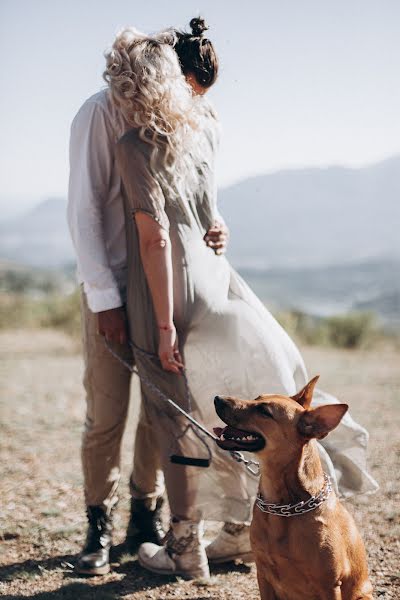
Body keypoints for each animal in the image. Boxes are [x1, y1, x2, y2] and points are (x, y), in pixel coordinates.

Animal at [214, 378, 374, 596]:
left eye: (264, 411)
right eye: (256, 398)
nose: (217, 398)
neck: (284, 506)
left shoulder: (329, 584)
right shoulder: (263, 576)